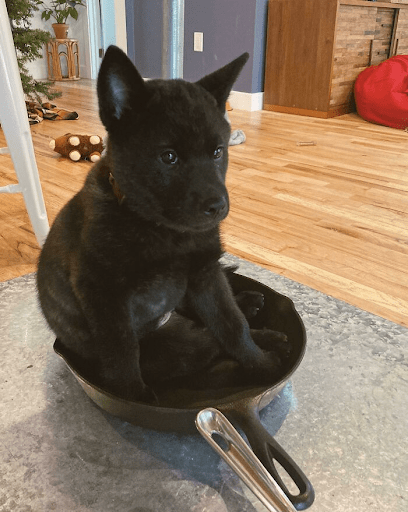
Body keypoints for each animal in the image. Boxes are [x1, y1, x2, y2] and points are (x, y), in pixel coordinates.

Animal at [36, 46, 288, 402]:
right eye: (168, 157)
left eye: (218, 152)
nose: (219, 208)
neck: (164, 231)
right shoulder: (104, 296)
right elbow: (123, 354)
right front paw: (133, 399)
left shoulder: (205, 275)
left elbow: (233, 326)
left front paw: (260, 364)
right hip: (176, 347)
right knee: (205, 348)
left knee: (216, 328)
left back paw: (257, 317)